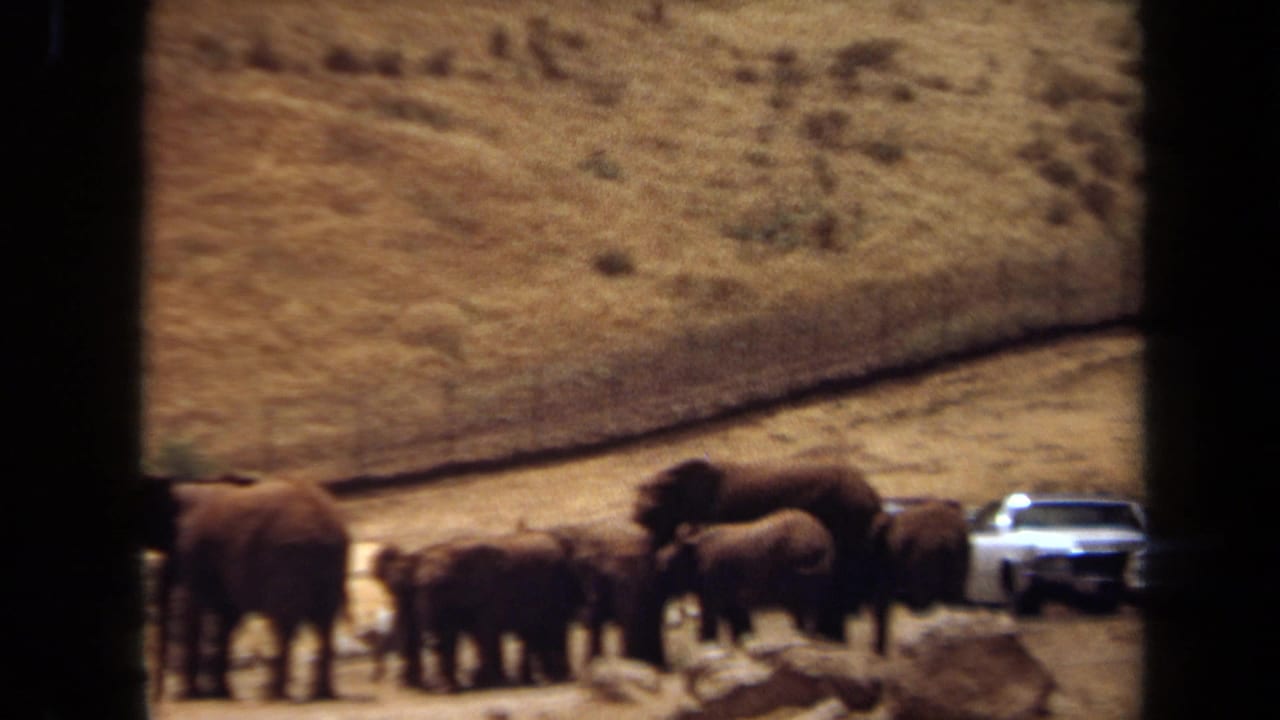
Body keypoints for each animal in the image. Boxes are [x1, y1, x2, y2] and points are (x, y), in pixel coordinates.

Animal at [139, 474, 350, 701]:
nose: (158, 697)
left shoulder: (192, 550)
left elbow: (193, 610)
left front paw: (191, 694)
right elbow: (227, 616)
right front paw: (221, 692)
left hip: (288, 555)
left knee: (285, 622)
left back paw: (274, 694)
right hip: (329, 560)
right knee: (324, 622)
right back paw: (322, 693)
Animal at [373, 529, 585, 692]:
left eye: (443, 586)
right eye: (416, 588)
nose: (430, 641)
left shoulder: (487, 591)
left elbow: (483, 630)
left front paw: (486, 682)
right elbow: (452, 633)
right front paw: (453, 687)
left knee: (553, 628)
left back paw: (556, 677)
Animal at [655, 508, 836, 644]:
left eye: (667, 566)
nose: (659, 559)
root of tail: (825, 541)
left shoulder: (713, 588)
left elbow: (711, 622)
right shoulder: (732, 599)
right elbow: (740, 626)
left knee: (805, 611)